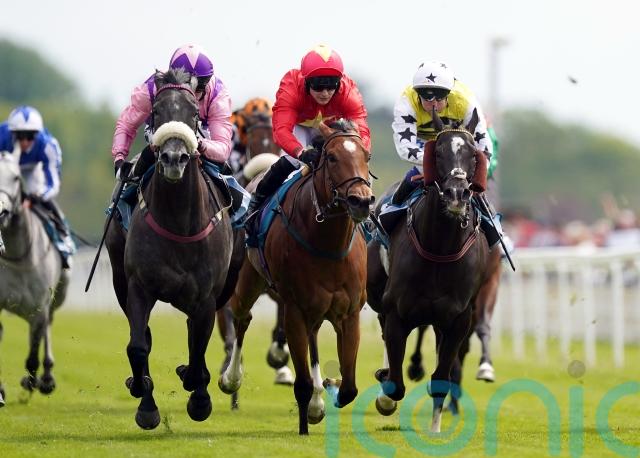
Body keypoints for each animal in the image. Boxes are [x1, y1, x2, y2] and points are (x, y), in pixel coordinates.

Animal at [0, 151, 69, 407]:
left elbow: (33, 354)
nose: (1, 211)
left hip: (57, 296)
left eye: (16, 177)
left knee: (48, 326)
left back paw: (46, 378)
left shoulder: (39, 306)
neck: (17, 255)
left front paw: (31, 382)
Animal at [105, 68, 234, 429]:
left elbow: (199, 347)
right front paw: (146, 403)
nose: (174, 158)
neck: (178, 223)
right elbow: (138, 346)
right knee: (145, 337)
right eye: (156, 111)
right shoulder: (138, 285)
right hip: (119, 278)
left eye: (194, 115)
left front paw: (199, 399)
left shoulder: (206, 297)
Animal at [219, 120, 374, 434]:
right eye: (332, 158)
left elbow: (349, 387)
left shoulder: (349, 312)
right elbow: (301, 382)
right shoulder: (294, 309)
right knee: (242, 320)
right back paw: (231, 378)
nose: (361, 201)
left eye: (366, 156)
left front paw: (328, 387)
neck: (328, 245)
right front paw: (308, 414)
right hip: (247, 282)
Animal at [366, 109, 489, 433]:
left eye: (473, 154)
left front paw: (435, 428)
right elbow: (396, 384)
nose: (457, 193)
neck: (441, 250)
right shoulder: (397, 312)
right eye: (440, 151)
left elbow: (441, 379)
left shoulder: (458, 320)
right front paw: (385, 393)